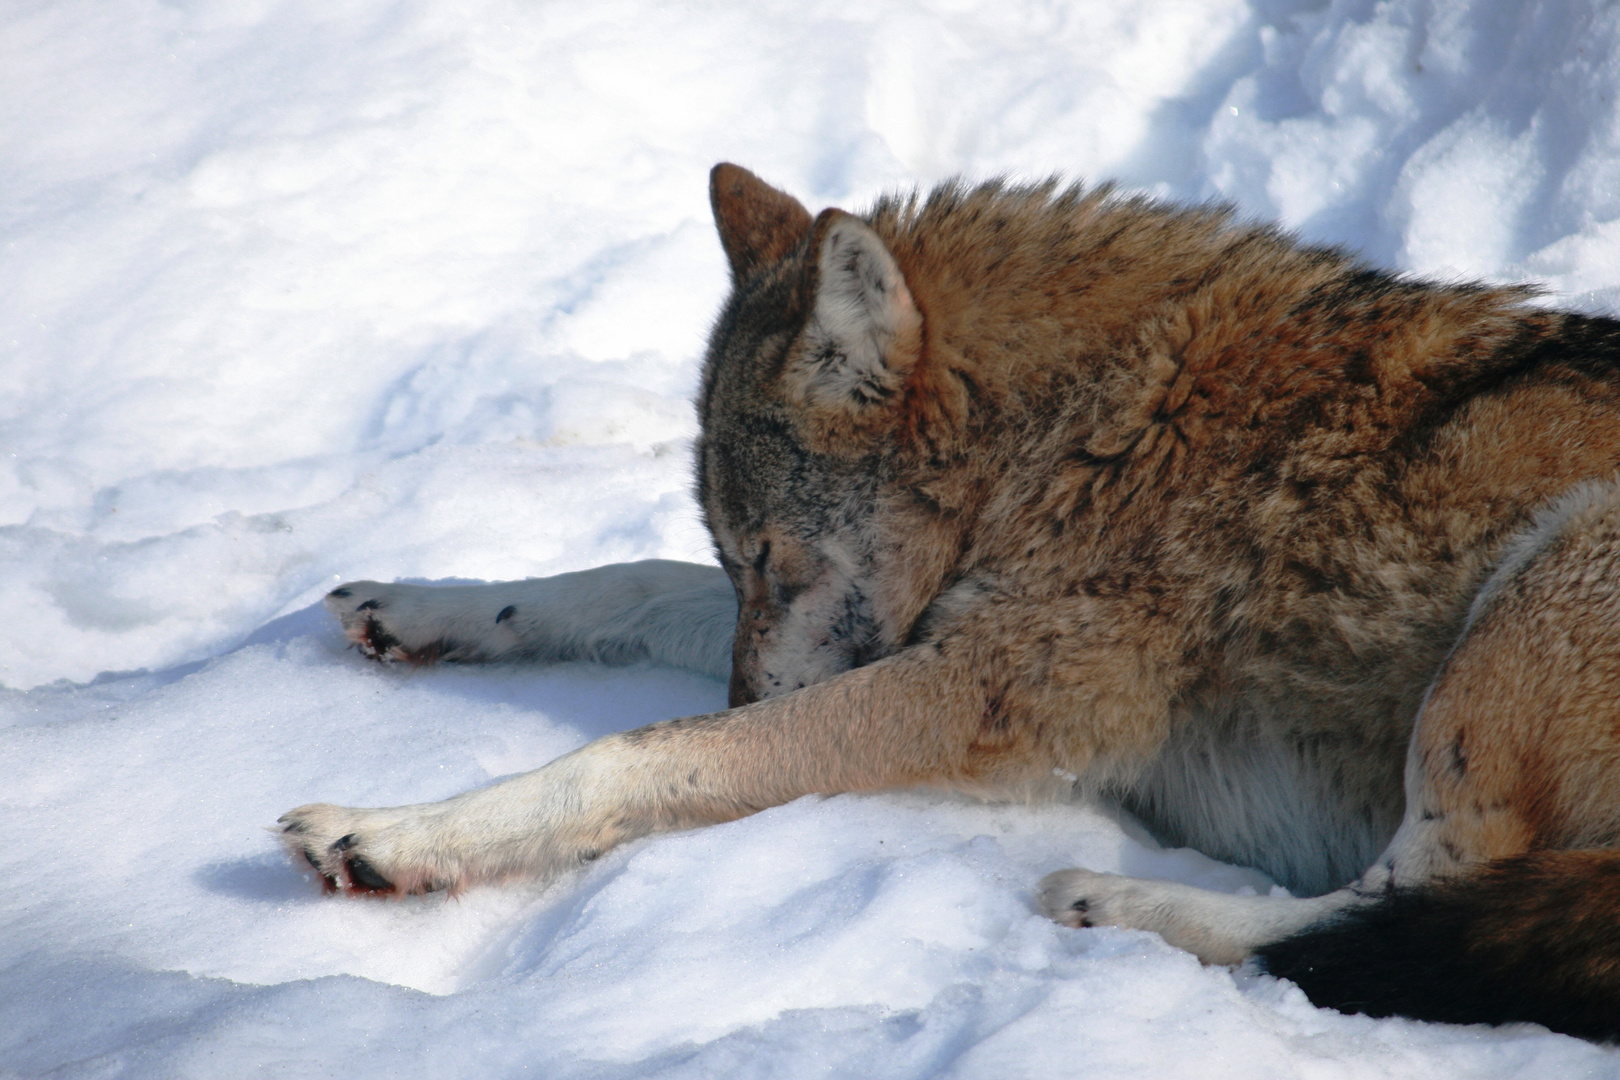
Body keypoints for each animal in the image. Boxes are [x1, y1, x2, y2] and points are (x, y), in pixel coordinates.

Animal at [285, 162, 1620, 1036]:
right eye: (734, 556)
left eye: (771, 555)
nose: (745, 693)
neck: (1080, 431)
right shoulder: (898, 638)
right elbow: (624, 581)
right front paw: (422, 603)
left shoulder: (980, 687)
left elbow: (642, 751)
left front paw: (400, 833)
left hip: (1541, 581)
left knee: (1415, 906)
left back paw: (1109, 899)